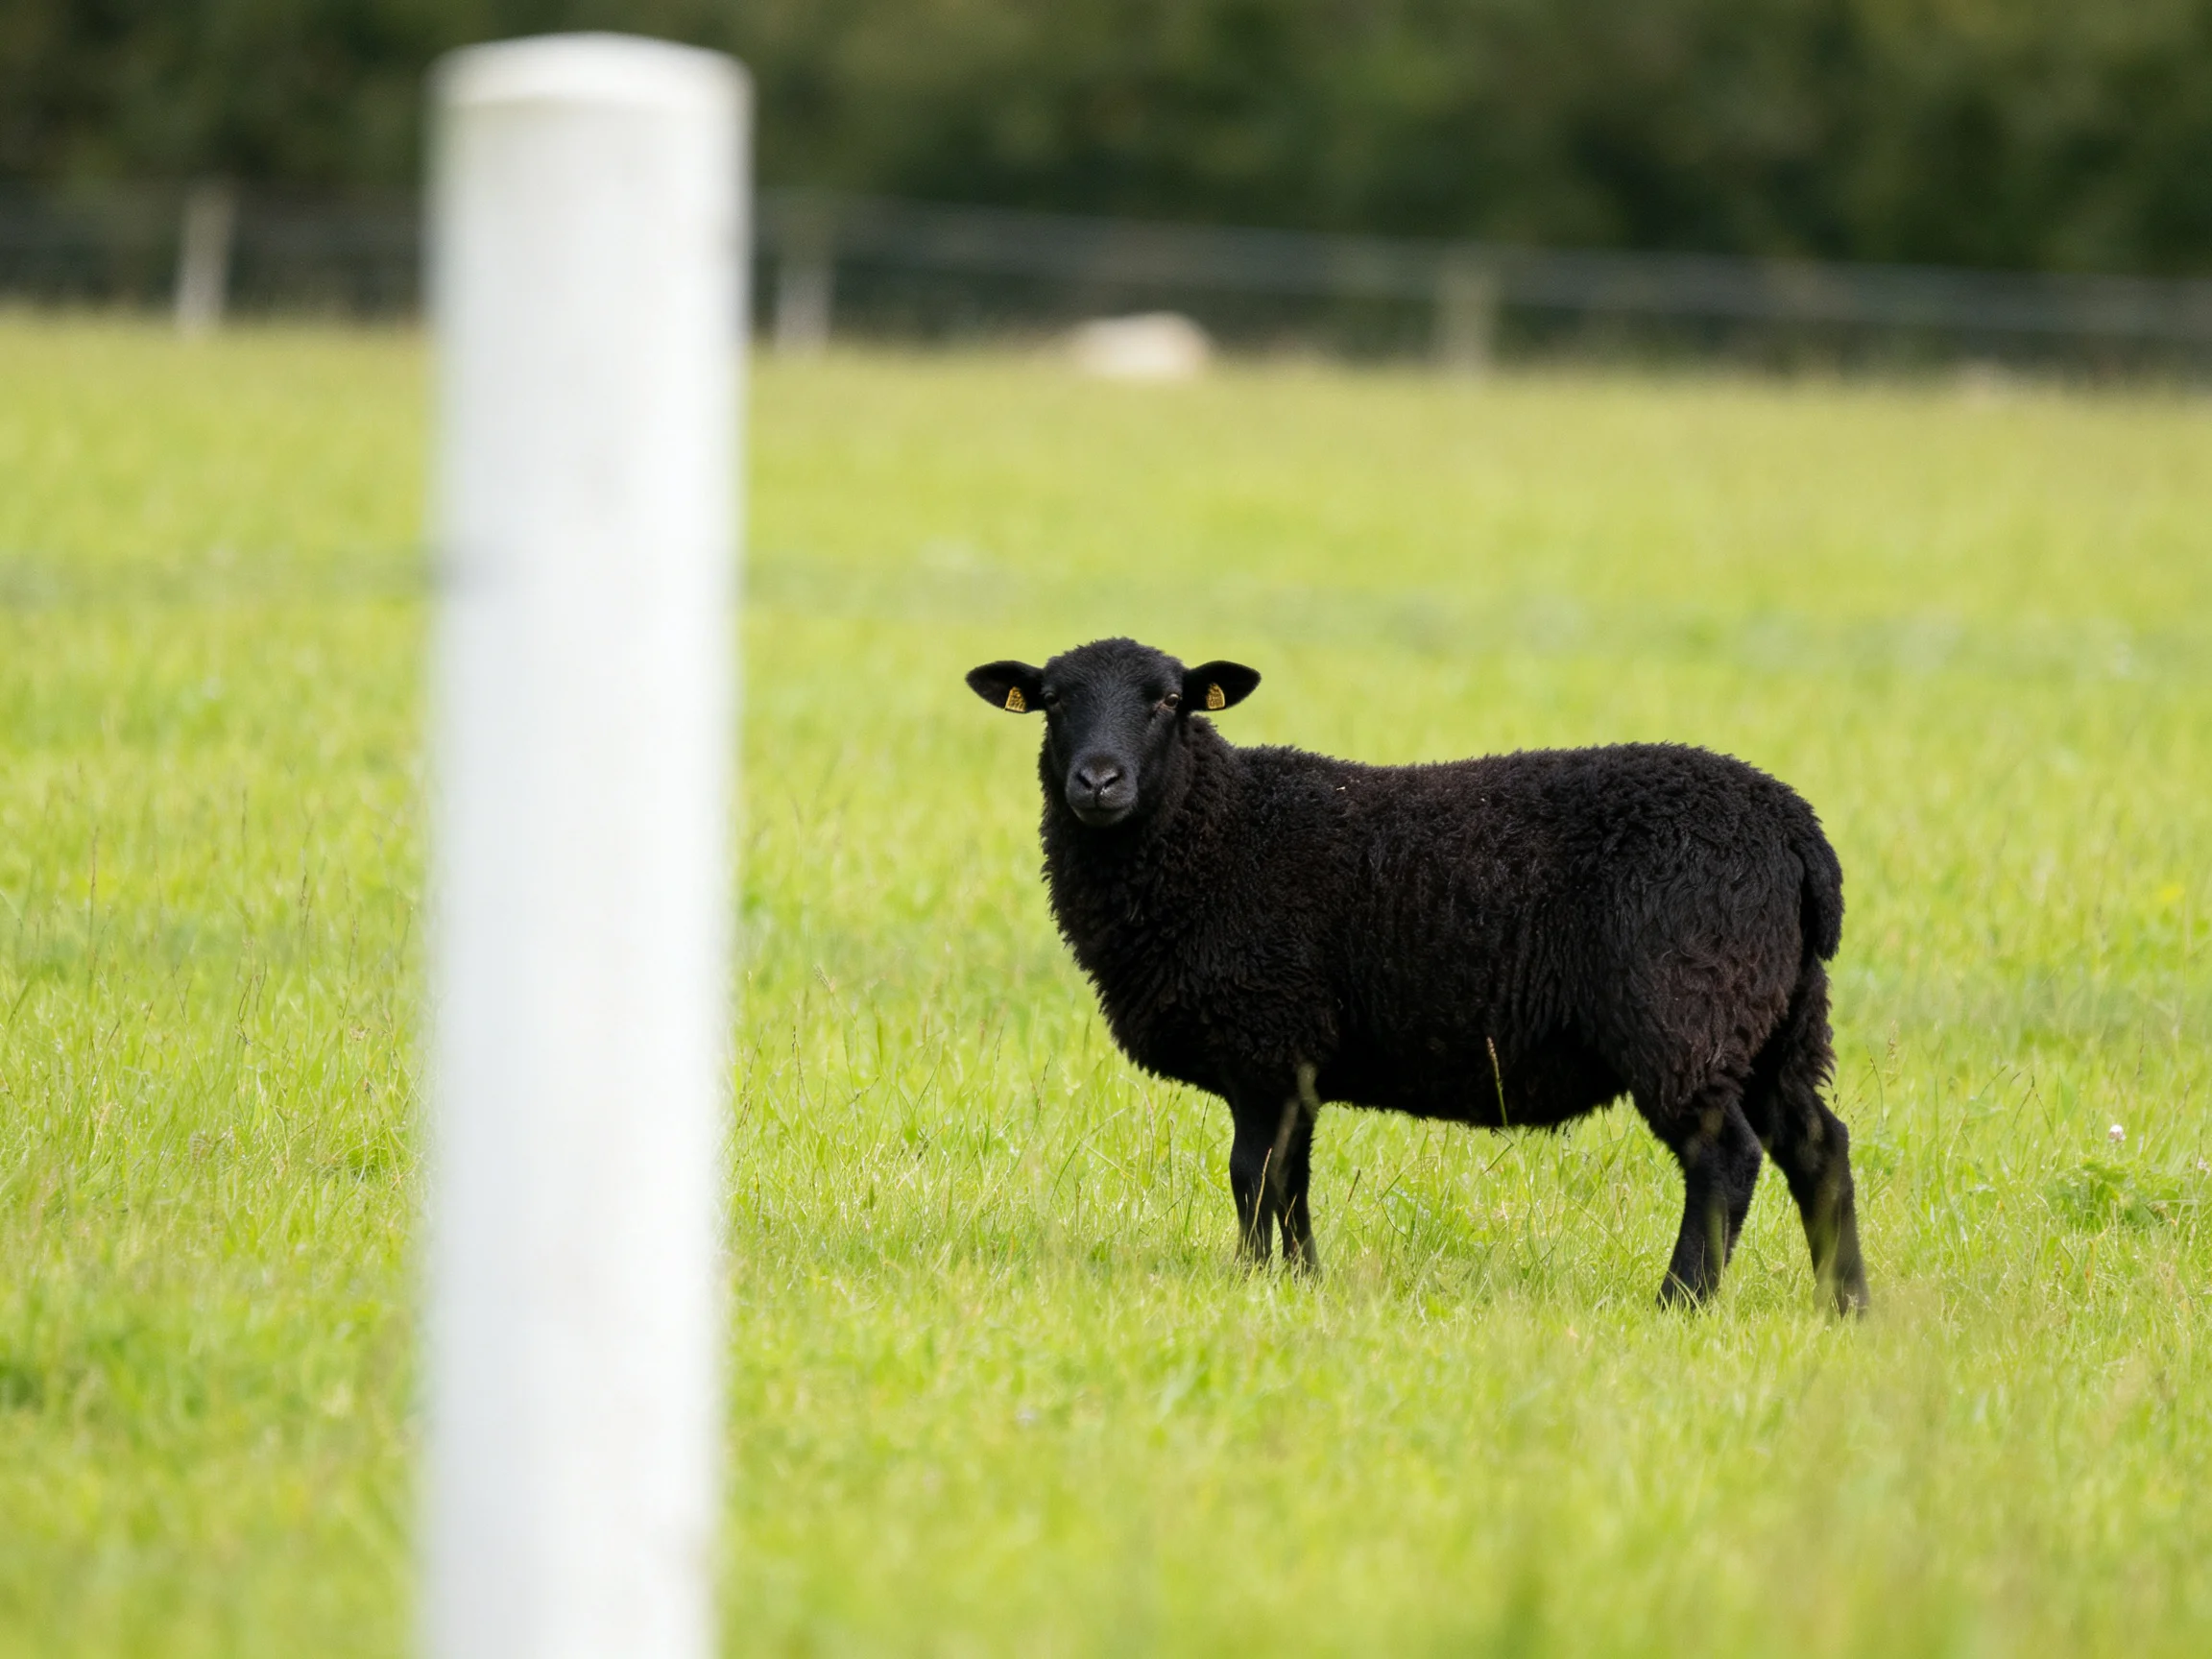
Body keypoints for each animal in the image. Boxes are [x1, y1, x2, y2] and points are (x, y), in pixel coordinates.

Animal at [967, 636, 1869, 1314]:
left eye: (1167, 702)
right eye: (1052, 701)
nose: (1098, 780)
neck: (1217, 833)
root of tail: (1798, 834)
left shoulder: (1265, 1044)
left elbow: (1252, 1176)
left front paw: (1253, 1282)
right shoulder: (1295, 1062)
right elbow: (1291, 1180)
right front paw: (1302, 1282)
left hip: (1685, 1012)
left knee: (1726, 1157)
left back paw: (1680, 1302)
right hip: (1775, 1020)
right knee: (1819, 1146)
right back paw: (1847, 1306)